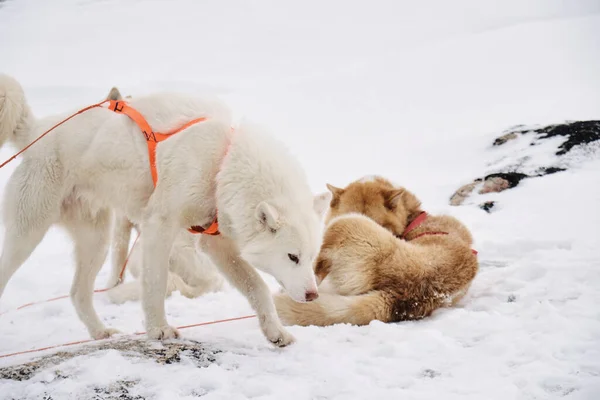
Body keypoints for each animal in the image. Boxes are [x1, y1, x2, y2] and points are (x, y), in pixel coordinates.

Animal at [0, 76, 328, 346]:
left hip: (97, 241)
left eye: (311, 257)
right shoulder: (159, 225)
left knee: (78, 293)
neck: (222, 161)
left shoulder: (217, 245)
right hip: (27, 234)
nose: (313, 295)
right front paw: (158, 329)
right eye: (293, 257)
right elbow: (156, 285)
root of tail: (39, 130)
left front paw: (275, 332)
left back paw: (100, 332)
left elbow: (257, 288)